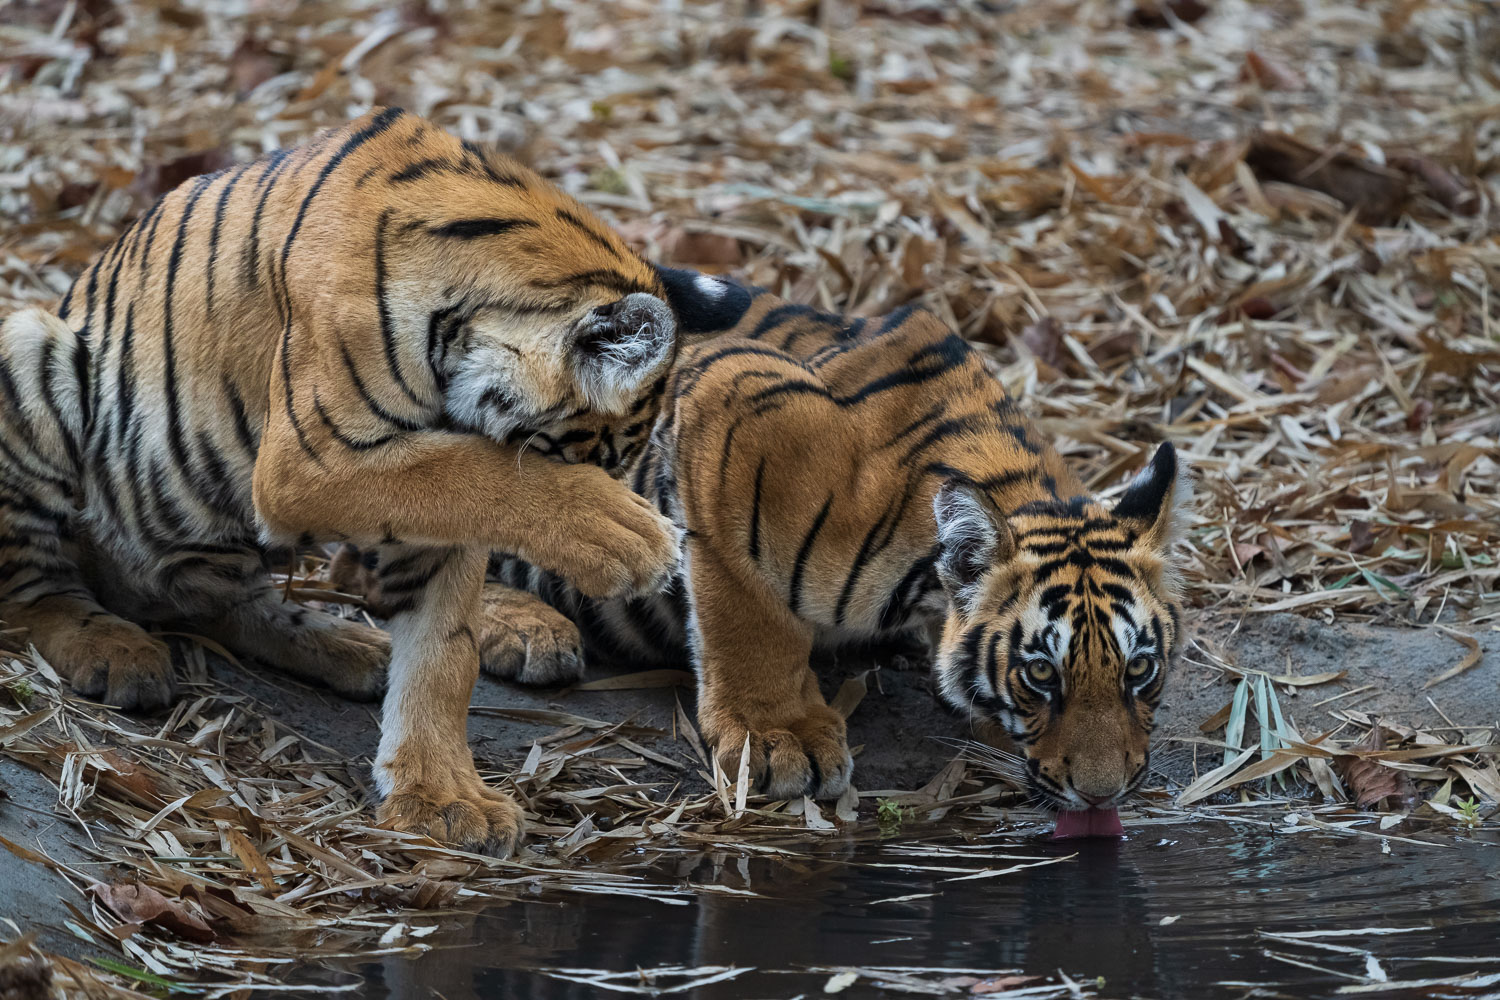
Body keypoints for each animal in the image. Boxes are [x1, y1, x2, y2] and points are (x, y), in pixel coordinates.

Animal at [0, 108, 685, 854]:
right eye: (591, 462)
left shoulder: (431, 521)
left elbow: (447, 650)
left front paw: (442, 796)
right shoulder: (309, 461)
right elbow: (477, 474)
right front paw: (628, 535)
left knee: (221, 600)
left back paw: (347, 644)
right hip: (27, 347)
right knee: (33, 588)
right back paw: (111, 646)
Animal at [345, 270, 1191, 816]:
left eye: (1140, 670)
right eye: (1040, 674)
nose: (1105, 794)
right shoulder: (731, 409)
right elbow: (747, 612)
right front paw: (776, 737)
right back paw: (527, 629)